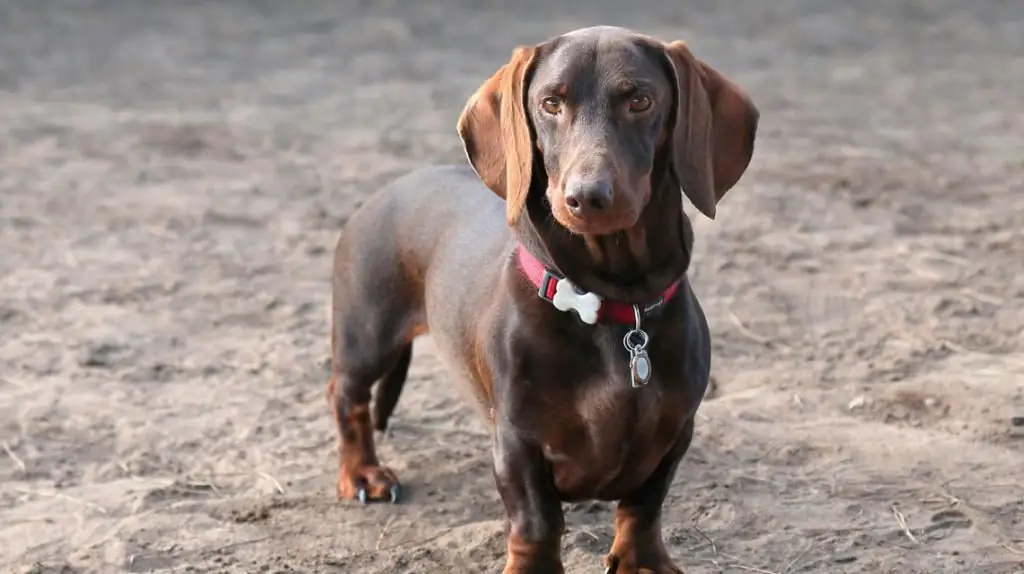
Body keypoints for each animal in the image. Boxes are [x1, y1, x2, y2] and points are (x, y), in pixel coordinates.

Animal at [327, 24, 761, 568]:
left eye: (640, 100)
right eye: (551, 103)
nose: (587, 197)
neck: (609, 302)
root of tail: (389, 189)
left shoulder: (676, 430)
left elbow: (644, 504)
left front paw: (640, 560)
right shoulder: (518, 441)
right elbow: (537, 521)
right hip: (367, 337)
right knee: (347, 398)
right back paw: (363, 474)